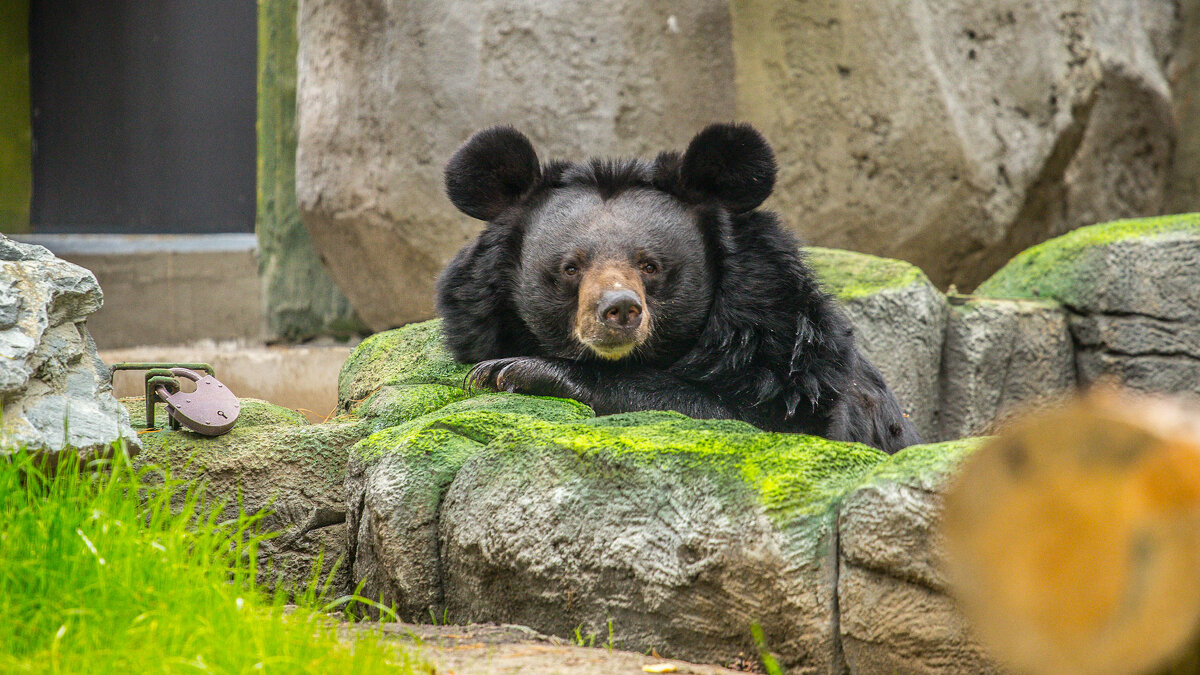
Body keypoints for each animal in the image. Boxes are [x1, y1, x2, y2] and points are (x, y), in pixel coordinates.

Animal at [439, 124, 916, 451]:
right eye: (571, 268)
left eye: (649, 265)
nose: (620, 309)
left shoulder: (784, 349)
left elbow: (759, 418)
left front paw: (511, 370)